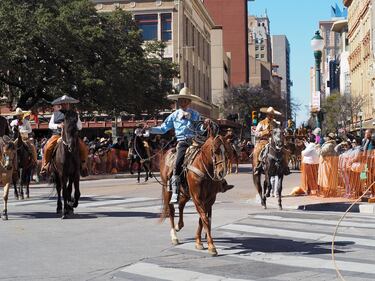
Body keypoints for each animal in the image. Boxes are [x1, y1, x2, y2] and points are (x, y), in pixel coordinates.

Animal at [159, 124, 229, 256]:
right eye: (215, 150)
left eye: (226, 151)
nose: (221, 172)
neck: (204, 168)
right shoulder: (197, 197)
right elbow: (205, 218)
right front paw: (211, 246)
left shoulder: (209, 199)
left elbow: (202, 219)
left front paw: (199, 242)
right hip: (167, 189)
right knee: (171, 210)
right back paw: (174, 236)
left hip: (186, 193)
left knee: (181, 204)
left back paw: (179, 225)